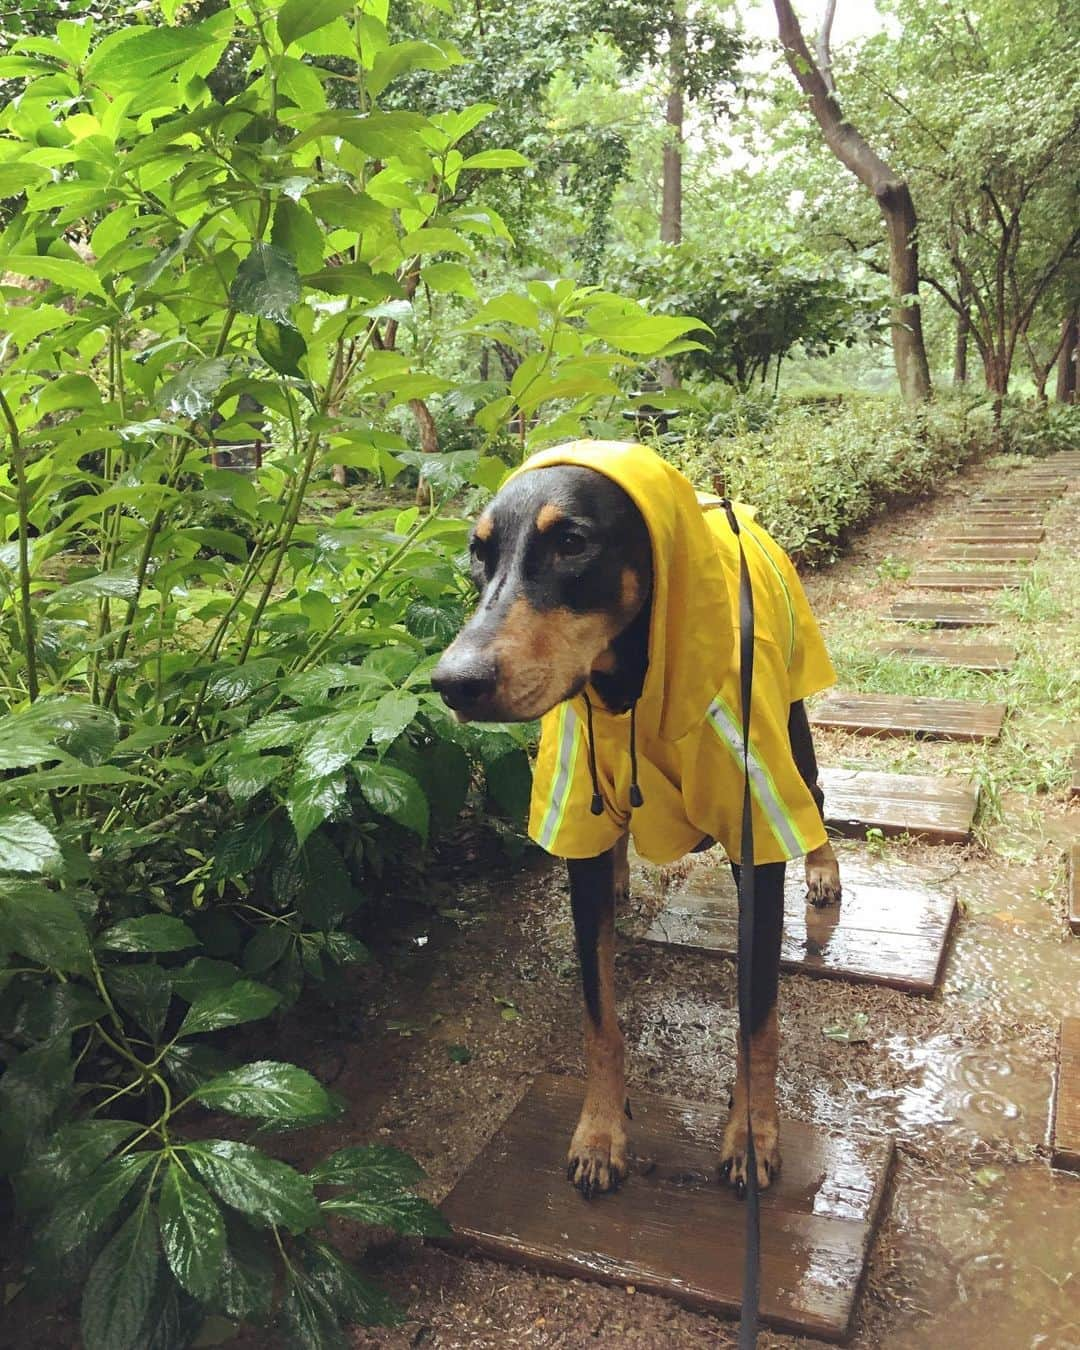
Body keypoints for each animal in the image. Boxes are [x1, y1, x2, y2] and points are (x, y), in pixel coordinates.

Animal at [432, 442, 842, 1204]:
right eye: (478, 552)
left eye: (572, 543)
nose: (454, 683)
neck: (627, 686)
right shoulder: (577, 826)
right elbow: (599, 1016)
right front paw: (600, 1133)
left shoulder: (755, 842)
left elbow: (757, 1021)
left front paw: (752, 1135)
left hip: (793, 716)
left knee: (817, 797)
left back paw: (826, 870)